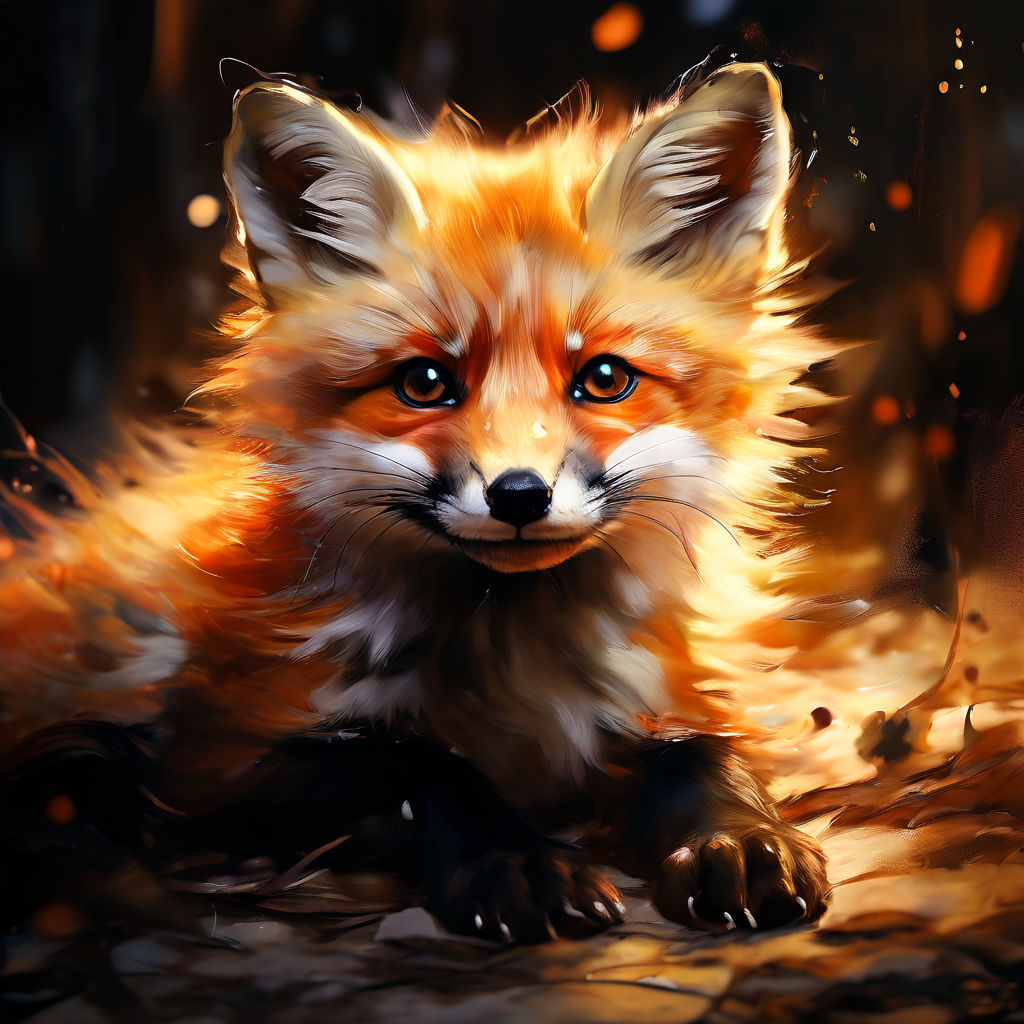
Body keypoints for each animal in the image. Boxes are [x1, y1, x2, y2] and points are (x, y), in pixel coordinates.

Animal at [0, 60, 833, 942]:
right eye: (425, 383)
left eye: (605, 378)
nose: (519, 496)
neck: (516, 669)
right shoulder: (209, 760)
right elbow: (415, 764)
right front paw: (517, 860)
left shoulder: (655, 703)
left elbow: (698, 752)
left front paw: (740, 836)